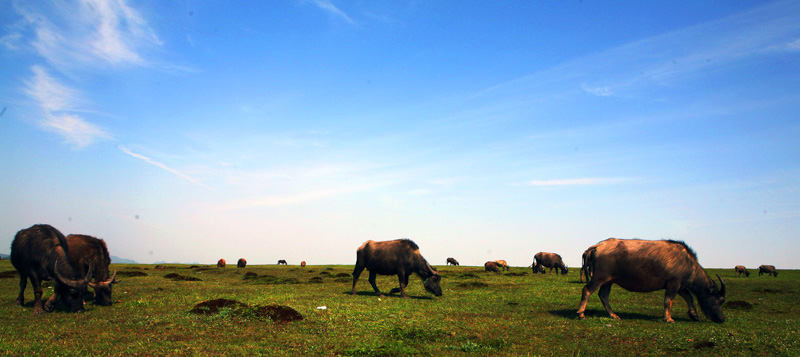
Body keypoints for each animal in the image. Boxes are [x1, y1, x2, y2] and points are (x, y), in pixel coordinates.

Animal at [576, 236, 724, 322]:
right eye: (720, 300)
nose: (722, 319)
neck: (687, 262)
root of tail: (597, 246)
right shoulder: (673, 284)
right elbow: (668, 301)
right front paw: (668, 318)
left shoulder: (680, 286)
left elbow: (689, 298)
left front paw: (694, 315)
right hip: (600, 277)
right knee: (587, 290)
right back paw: (581, 314)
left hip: (608, 281)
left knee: (603, 295)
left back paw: (613, 315)